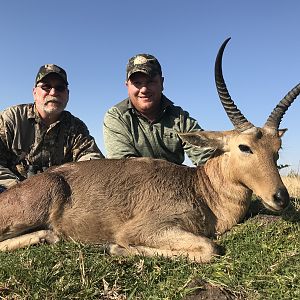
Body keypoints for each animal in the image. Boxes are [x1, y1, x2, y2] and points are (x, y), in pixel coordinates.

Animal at [0, 38, 300, 262]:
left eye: (277, 148)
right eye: (244, 147)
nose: (281, 197)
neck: (200, 189)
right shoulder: (146, 228)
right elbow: (210, 248)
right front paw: (116, 247)